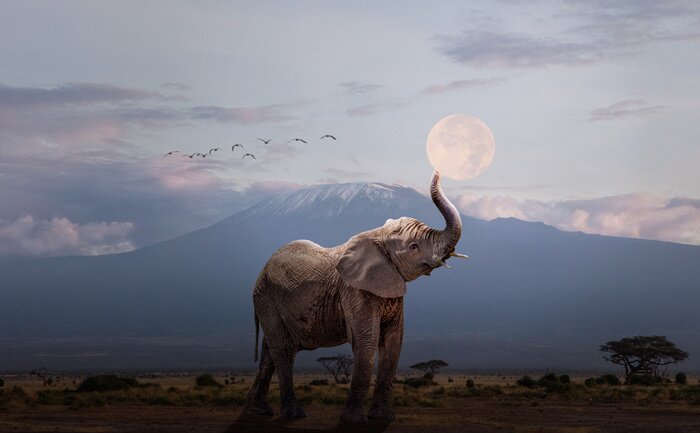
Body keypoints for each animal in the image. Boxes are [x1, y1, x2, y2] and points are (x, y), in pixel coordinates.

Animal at [245, 170, 465, 424]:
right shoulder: (354, 291)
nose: (438, 171)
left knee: (269, 350)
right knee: (283, 349)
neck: (377, 236)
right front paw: (353, 420)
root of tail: (261, 272)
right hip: (267, 298)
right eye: (413, 247)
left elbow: (393, 342)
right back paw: (293, 414)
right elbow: (367, 341)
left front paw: (383, 418)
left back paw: (259, 409)